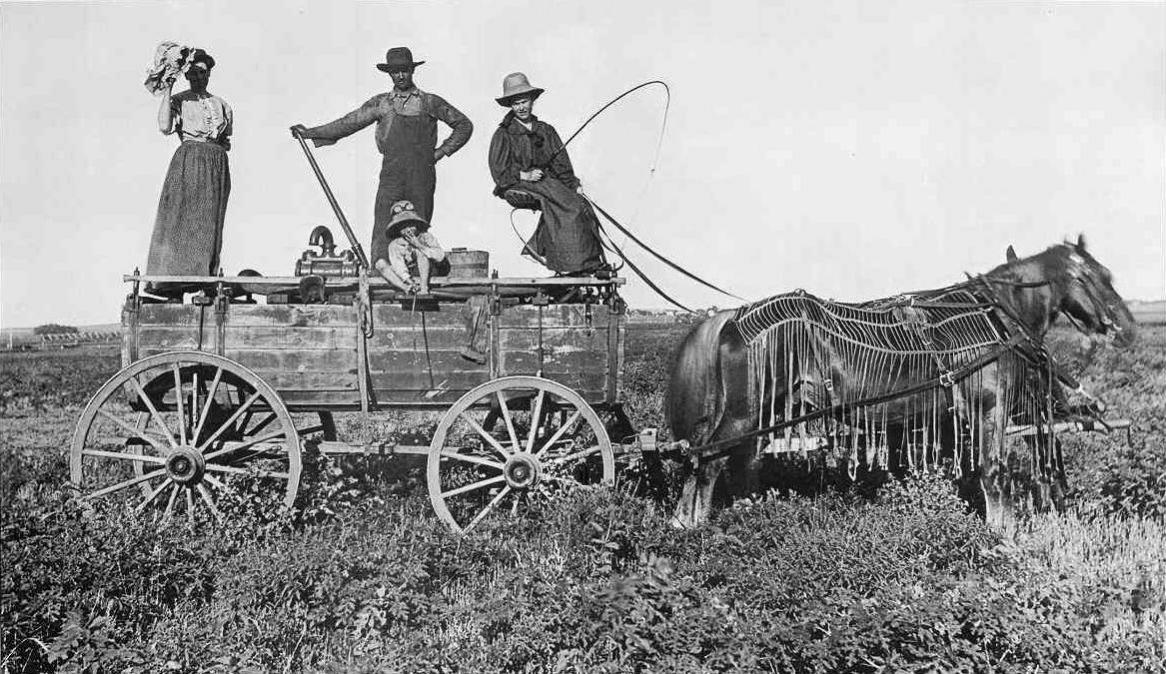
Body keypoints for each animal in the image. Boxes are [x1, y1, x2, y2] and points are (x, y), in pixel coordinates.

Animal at [671, 234, 1133, 524]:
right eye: (1097, 277)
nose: (1127, 329)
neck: (998, 317)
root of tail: (732, 317)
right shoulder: (990, 408)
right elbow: (994, 473)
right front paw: (1002, 535)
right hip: (744, 413)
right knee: (708, 461)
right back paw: (694, 528)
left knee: (723, 461)